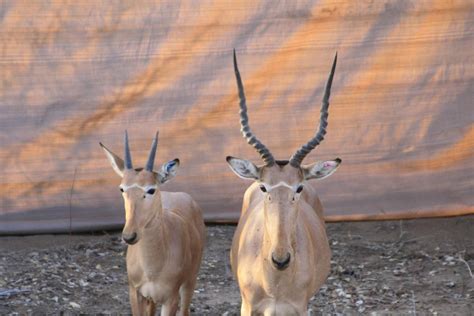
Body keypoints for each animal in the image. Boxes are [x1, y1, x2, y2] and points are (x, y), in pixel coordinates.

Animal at [100, 130, 204, 314]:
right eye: (122, 188)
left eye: (151, 189)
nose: (129, 236)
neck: (152, 269)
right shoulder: (135, 293)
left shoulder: (170, 299)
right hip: (152, 299)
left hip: (189, 282)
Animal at [227, 50, 340, 314]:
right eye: (263, 187)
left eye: (298, 188)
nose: (281, 259)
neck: (275, 283)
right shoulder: (248, 306)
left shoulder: (299, 308)